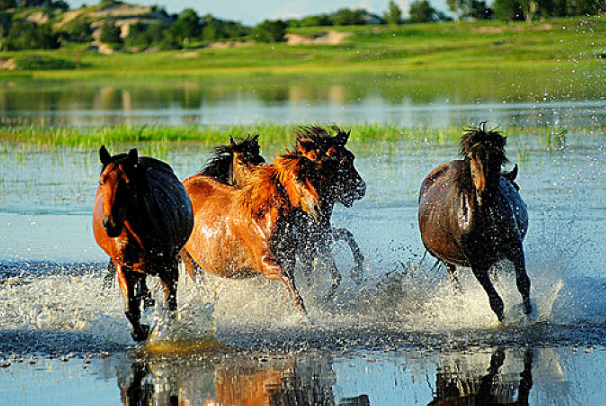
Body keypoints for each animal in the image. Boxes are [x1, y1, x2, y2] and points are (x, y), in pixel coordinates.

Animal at [92, 144, 195, 340]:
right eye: (102, 182)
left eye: (128, 183)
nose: (110, 224)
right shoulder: (123, 267)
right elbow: (131, 308)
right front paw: (140, 331)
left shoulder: (169, 267)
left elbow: (171, 305)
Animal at [179, 151, 326, 312]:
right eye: (298, 178)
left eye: (315, 176)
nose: (318, 207)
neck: (263, 219)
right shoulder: (265, 264)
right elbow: (287, 280)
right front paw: (303, 314)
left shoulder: (288, 260)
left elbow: (289, 284)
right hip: (189, 260)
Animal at [294, 125, 368, 296]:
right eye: (344, 161)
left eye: (352, 157)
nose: (362, 188)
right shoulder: (306, 249)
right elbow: (329, 277)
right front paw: (320, 297)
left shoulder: (322, 238)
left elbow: (347, 235)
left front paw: (357, 273)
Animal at [418, 125, 532, 322]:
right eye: (471, 156)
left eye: (497, 155)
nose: (485, 193)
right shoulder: (476, 264)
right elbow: (495, 301)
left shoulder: (514, 248)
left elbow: (523, 283)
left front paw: (528, 311)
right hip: (448, 262)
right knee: (456, 287)